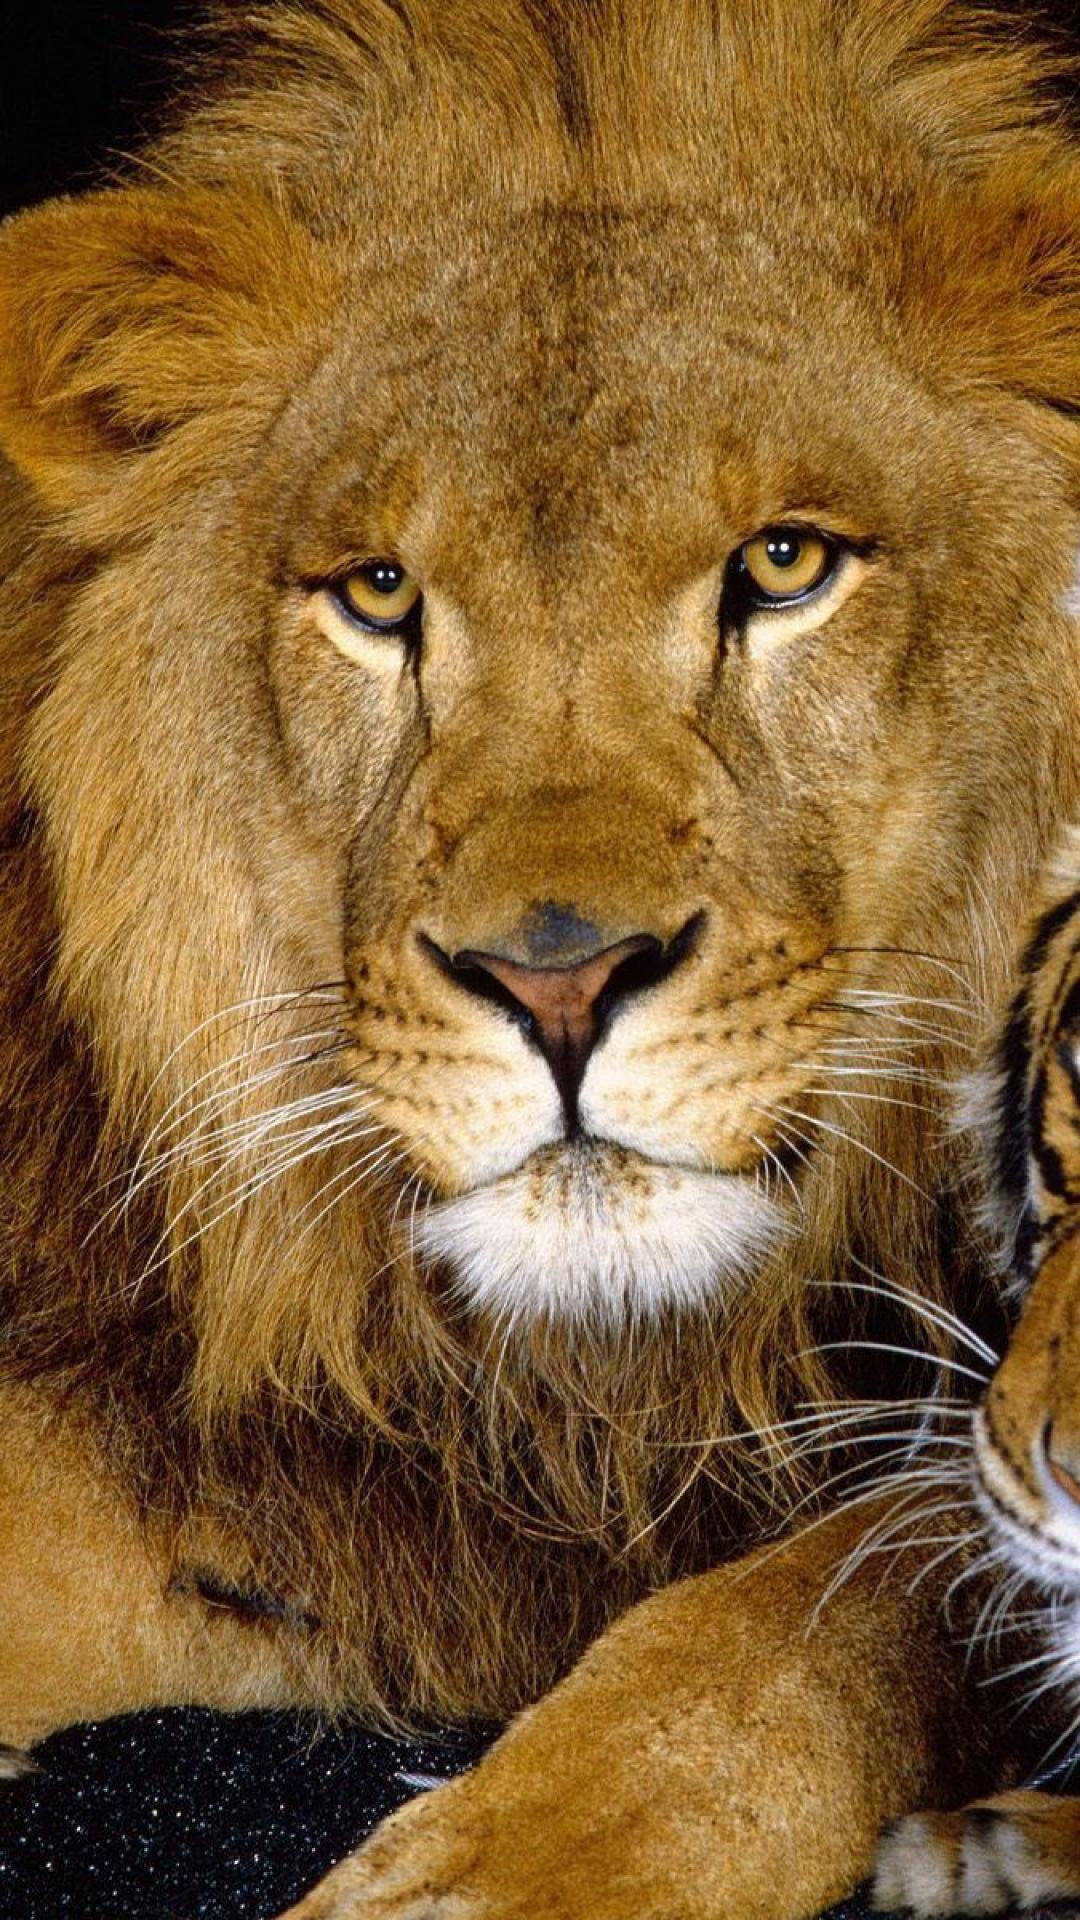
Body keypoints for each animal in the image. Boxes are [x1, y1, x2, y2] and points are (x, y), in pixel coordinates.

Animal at [3, 0, 1080, 1913]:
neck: (611, 1391)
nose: (560, 984)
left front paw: (508, 1861)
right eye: (376, 594)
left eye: (784, 563)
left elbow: (812, 1617)